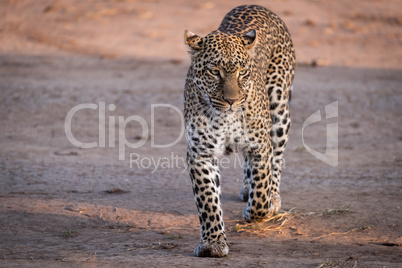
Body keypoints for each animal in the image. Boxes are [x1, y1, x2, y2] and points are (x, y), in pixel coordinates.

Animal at [183, 5, 296, 258]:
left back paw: (273, 197)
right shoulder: (200, 153)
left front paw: (260, 209)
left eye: (243, 72)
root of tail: (255, 5)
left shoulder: (260, 145)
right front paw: (213, 243)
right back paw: (247, 188)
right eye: (214, 72)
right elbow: (208, 200)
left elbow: (261, 190)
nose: (232, 101)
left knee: (276, 158)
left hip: (279, 109)